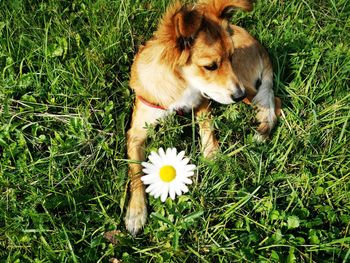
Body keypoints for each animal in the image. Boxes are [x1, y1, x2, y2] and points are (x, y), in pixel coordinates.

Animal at [124, 0, 280, 235]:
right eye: (210, 66)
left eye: (231, 57)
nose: (238, 95)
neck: (180, 83)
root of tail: (260, 46)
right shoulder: (136, 133)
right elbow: (136, 172)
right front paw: (136, 212)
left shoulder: (205, 99)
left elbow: (207, 127)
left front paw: (212, 154)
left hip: (247, 87)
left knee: (274, 103)